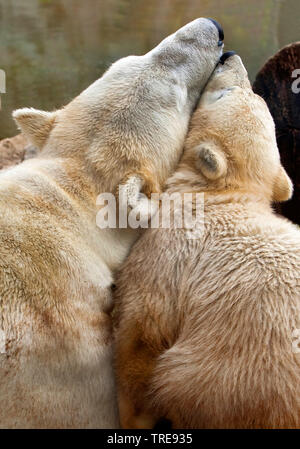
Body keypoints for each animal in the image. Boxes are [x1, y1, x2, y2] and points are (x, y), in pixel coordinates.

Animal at [114, 51, 300, 428]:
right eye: (253, 95)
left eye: (221, 94)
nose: (229, 55)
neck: (221, 197)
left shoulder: (170, 251)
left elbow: (144, 329)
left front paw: (133, 415)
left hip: (230, 377)